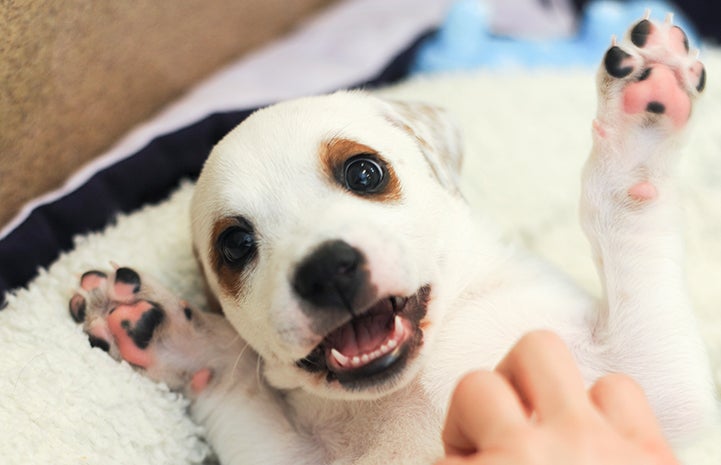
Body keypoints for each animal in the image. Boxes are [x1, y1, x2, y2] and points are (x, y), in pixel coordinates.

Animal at [71, 18, 716, 464]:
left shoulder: (663, 391)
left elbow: (623, 211)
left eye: (364, 173)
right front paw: (173, 335)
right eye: (234, 244)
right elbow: (236, 392)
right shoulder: (284, 455)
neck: (416, 383)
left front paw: (645, 111)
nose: (326, 270)